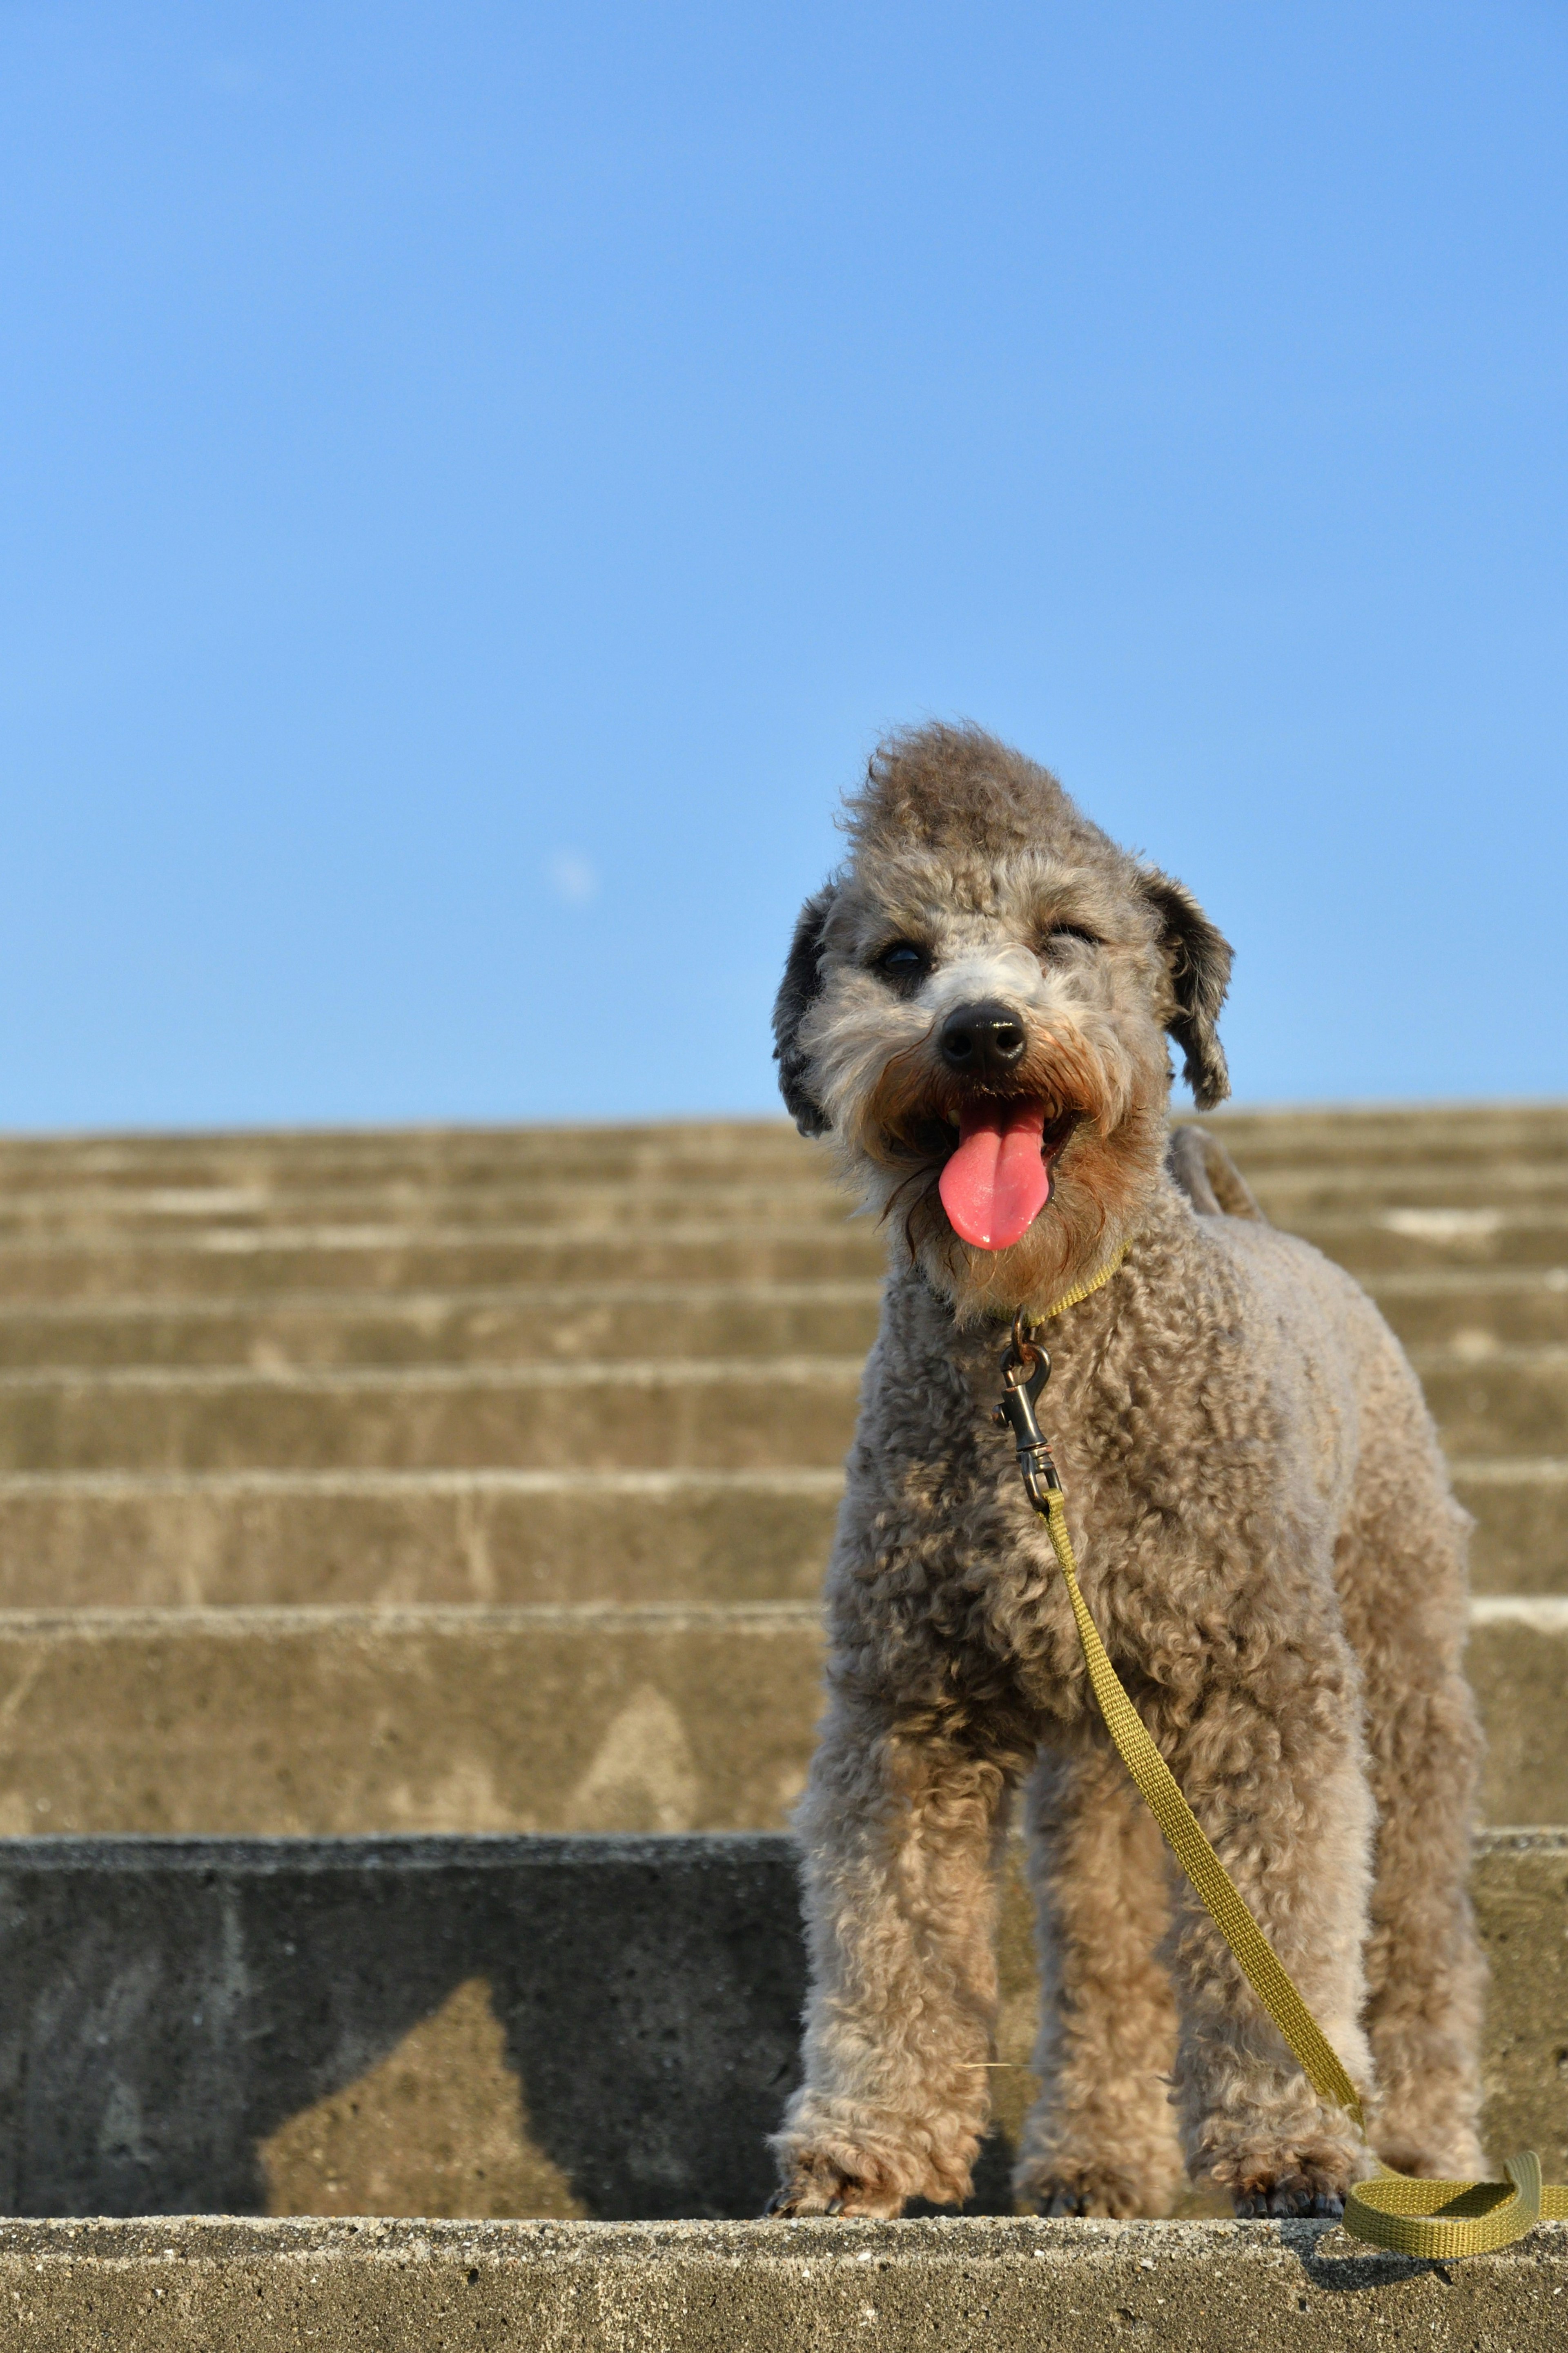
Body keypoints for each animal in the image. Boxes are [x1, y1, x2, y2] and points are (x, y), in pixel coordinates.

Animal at [766, 720, 1495, 2221]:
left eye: (1069, 935)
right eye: (903, 958)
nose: (982, 1032)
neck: (1038, 1343)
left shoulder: (1263, 1700)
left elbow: (1286, 1931)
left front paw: (1292, 2145)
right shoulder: (912, 1708)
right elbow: (891, 1935)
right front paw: (868, 2143)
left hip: (1398, 1676)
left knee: (1418, 1937)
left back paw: (1423, 2151)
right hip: (1105, 1762)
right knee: (1106, 1952)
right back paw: (1095, 2159)